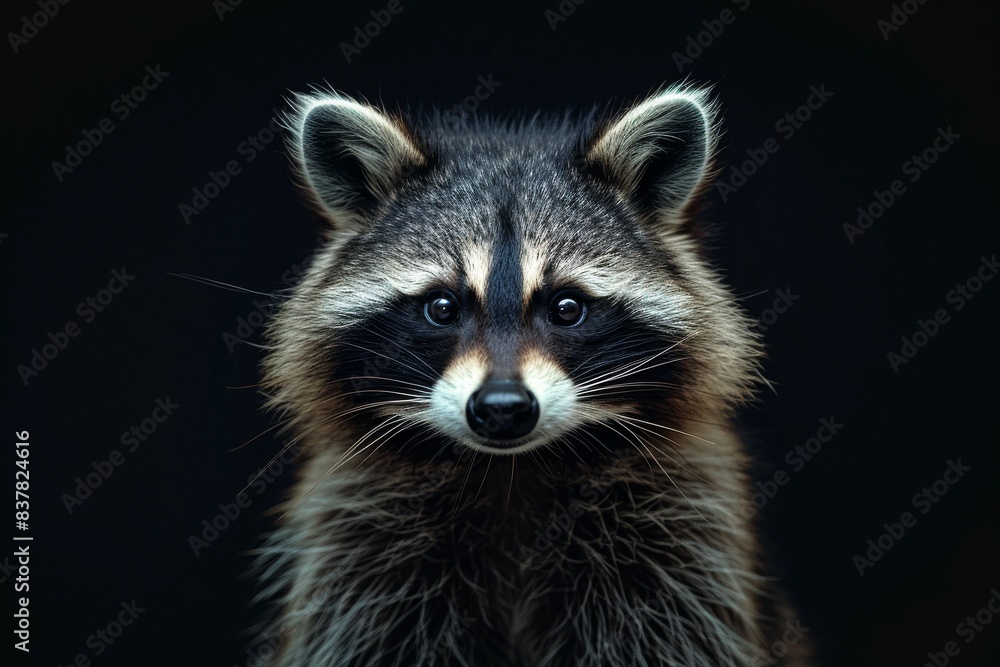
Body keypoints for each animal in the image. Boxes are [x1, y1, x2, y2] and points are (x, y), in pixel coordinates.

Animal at [253, 84, 815, 666]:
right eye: (441, 307)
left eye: (567, 308)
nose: (502, 409)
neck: (511, 471)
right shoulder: (360, 549)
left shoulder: (680, 546)